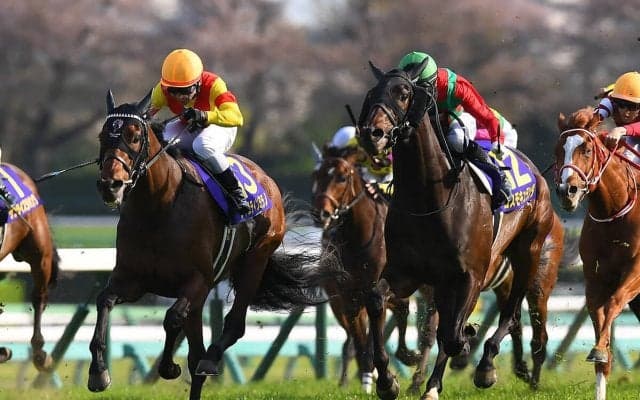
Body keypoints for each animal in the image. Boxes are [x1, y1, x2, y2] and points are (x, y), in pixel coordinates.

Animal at [90, 90, 336, 400]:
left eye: (134, 136)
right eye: (102, 136)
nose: (110, 185)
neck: (159, 208)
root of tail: (266, 179)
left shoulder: (198, 281)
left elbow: (172, 318)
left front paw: (168, 366)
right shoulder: (132, 279)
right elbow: (104, 302)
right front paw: (98, 372)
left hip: (253, 263)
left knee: (231, 328)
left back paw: (211, 358)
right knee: (196, 352)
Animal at [311, 144, 427, 393]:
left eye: (342, 177)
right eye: (316, 175)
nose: (320, 214)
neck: (359, 238)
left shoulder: (377, 291)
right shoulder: (349, 298)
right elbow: (361, 343)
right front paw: (369, 380)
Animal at [356, 60, 556, 400]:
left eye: (404, 93)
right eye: (372, 94)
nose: (374, 133)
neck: (429, 198)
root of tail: (536, 172)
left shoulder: (469, 276)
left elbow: (450, 335)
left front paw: (468, 347)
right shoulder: (406, 273)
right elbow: (375, 299)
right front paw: (387, 381)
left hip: (527, 253)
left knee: (510, 313)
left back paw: (483, 366)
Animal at [555, 107, 640, 400]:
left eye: (587, 149)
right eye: (558, 150)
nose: (566, 191)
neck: (614, 212)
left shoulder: (635, 271)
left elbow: (614, 302)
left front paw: (599, 350)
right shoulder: (594, 276)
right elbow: (597, 310)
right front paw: (602, 356)